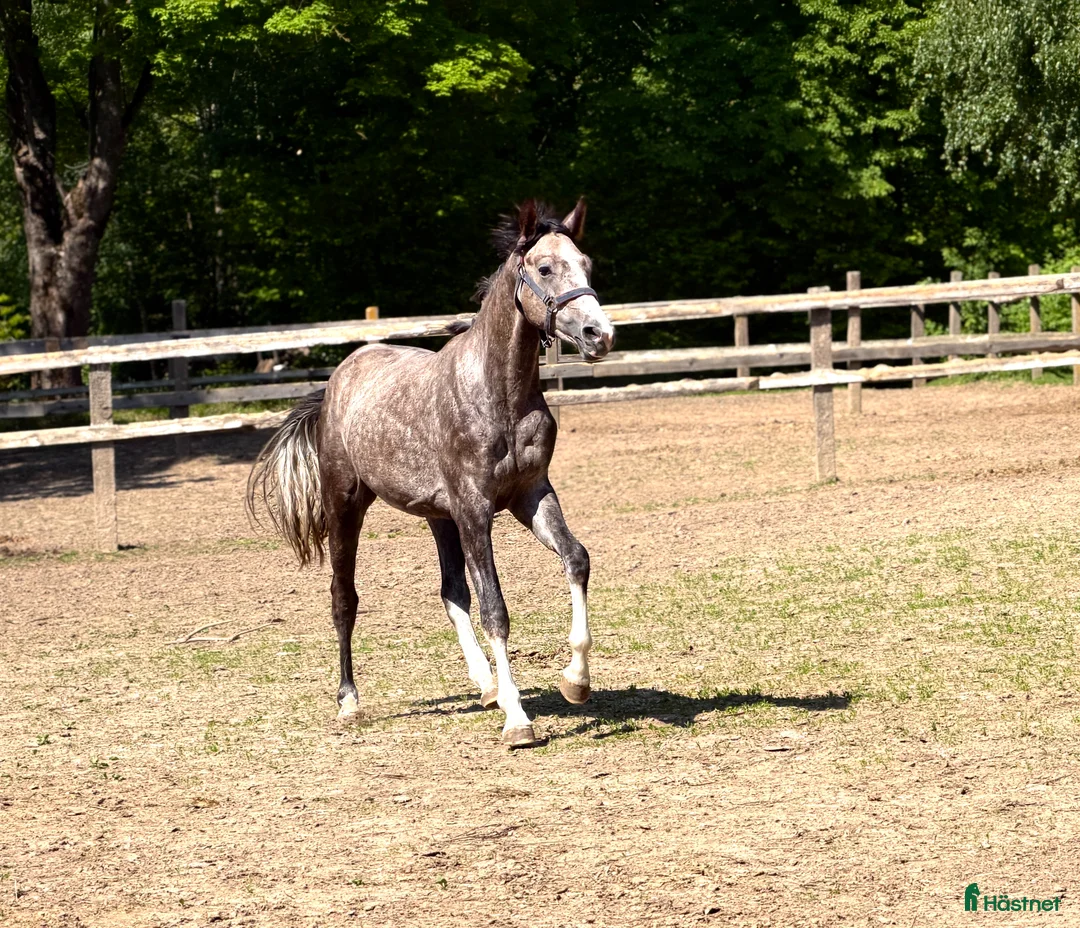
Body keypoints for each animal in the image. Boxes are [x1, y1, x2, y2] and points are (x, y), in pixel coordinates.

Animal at [247, 199, 614, 747]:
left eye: (587, 265)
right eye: (545, 268)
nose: (599, 335)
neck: (498, 393)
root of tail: (337, 381)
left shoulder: (529, 495)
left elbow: (576, 559)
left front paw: (575, 681)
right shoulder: (475, 510)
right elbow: (495, 608)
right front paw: (518, 720)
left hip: (439, 518)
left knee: (451, 592)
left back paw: (486, 685)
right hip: (346, 505)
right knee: (343, 598)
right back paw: (350, 702)